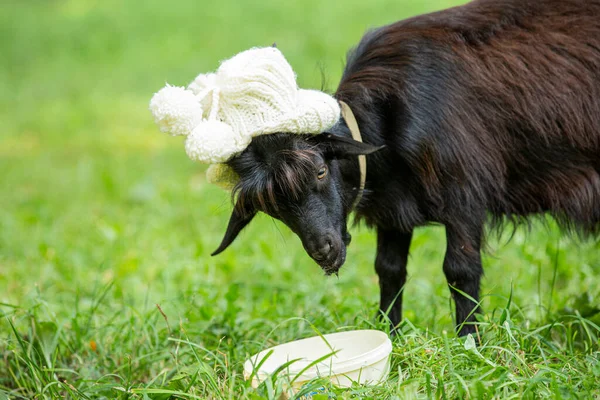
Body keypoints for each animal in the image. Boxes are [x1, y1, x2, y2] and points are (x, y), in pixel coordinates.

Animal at [213, 0, 596, 336]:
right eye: (270, 207)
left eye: (321, 171)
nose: (324, 250)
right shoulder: (395, 208)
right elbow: (389, 270)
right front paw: (390, 333)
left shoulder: (464, 195)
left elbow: (460, 270)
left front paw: (469, 341)